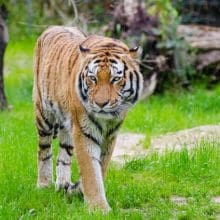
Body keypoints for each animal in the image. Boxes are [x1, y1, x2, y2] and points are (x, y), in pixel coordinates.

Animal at [32, 25, 143, 211]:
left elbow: (101, 166)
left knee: (64, 154)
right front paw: (98, 209)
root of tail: (53, 27)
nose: (101, 103)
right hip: (44, 114)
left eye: (115, 79)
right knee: (44, 150)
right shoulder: (84, 131)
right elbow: (90, 169)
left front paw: (77, 191)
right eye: (93, 78)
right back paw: (44, 184)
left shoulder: (110, 135)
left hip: (67, 126)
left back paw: (63, 184)